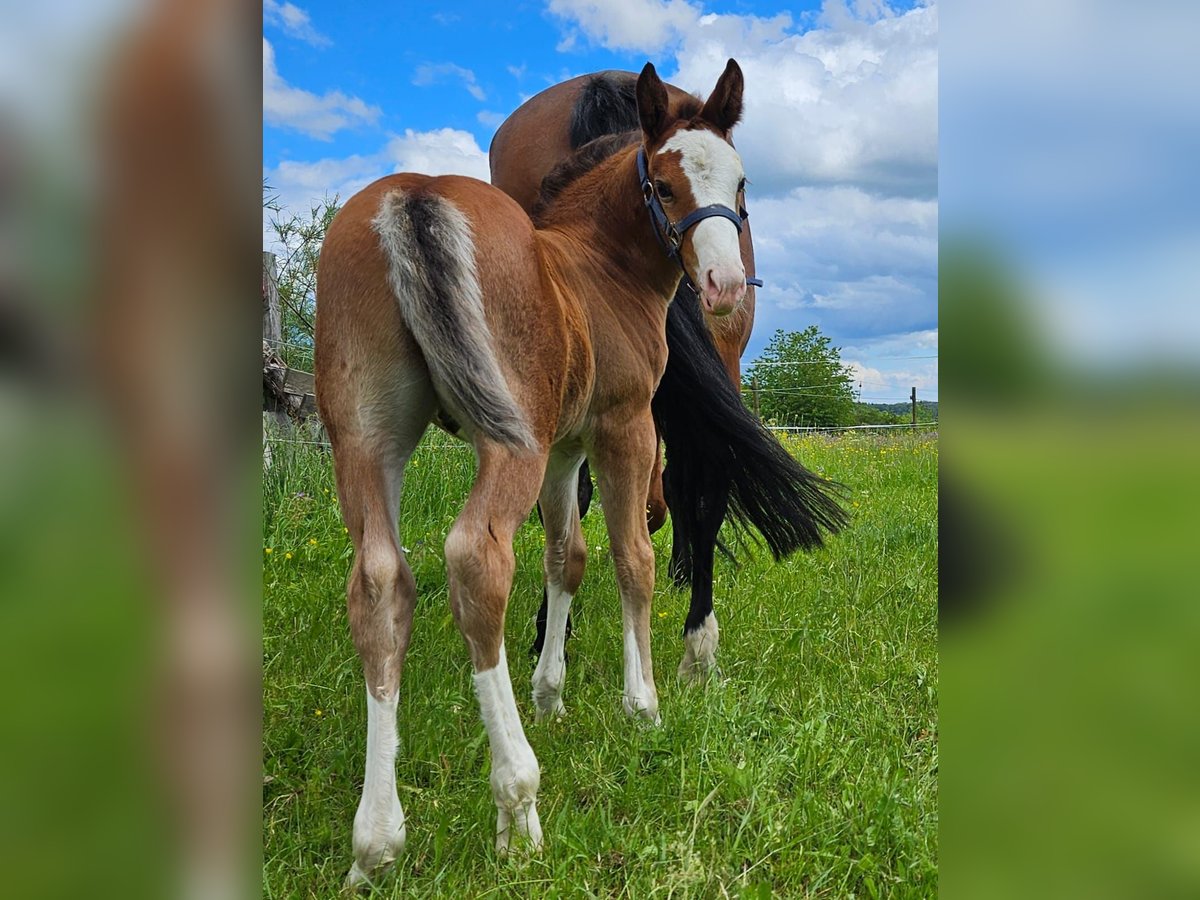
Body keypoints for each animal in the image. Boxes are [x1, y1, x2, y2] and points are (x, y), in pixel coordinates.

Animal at [314, 63, 753, 888]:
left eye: (740, 181)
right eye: (665, 184)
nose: (722, 285)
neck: (598, 265)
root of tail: (415, 195)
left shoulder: (563, 448)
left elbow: (565, 557)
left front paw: (551, 693)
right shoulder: (622, 426)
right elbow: (631, 558)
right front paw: (642, 704)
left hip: (365, 438)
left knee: (380, 584)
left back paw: (376, 841)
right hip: (503, 438)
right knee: (476, 559)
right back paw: (517, 803)